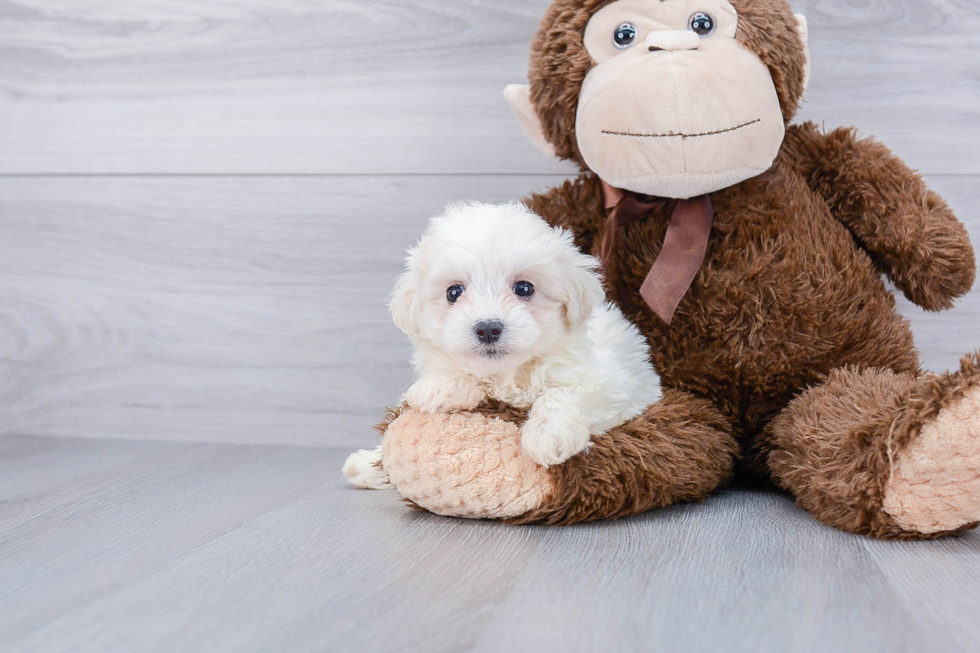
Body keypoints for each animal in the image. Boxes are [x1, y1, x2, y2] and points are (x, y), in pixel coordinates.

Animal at [342, 202, 660, 484]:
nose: (487, 329)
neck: (510, 374)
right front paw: (439, 388)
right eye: (453, 292)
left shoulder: (613, 386)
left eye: (524, 288)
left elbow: (563, 393)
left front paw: (549, 435)